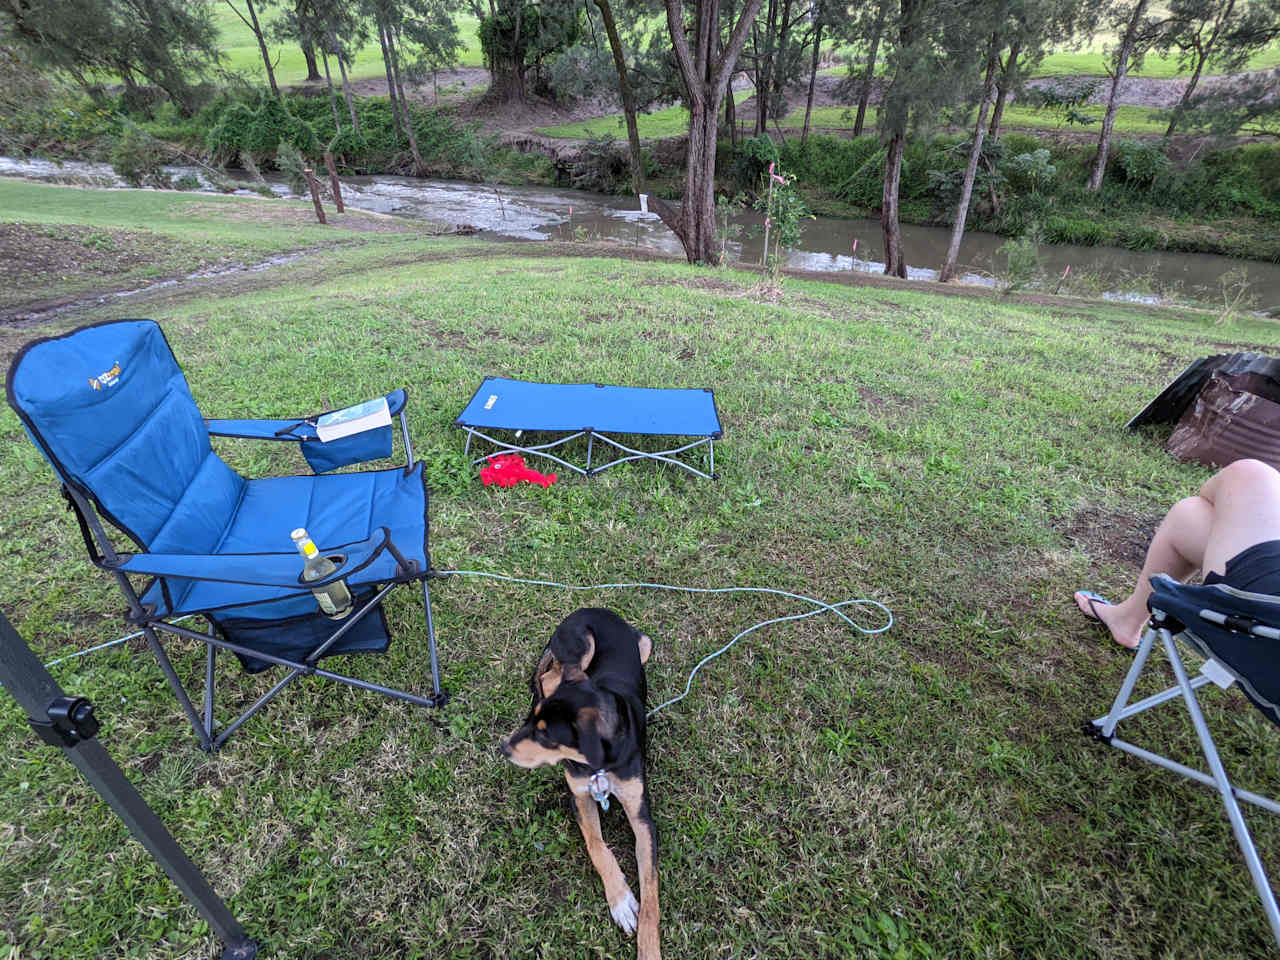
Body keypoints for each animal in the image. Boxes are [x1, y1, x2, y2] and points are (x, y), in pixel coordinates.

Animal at [499, 609, 660, 960]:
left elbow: (651, 891)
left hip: (644, 644)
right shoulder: (580, 797)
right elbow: (598, 847)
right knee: (550, 677)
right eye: (531, 720)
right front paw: (621, 901)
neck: (600, 762)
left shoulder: (642, 815)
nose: (503, 748)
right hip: (582, 646)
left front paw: (649, 947)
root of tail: (591, 608)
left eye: (547, 736)